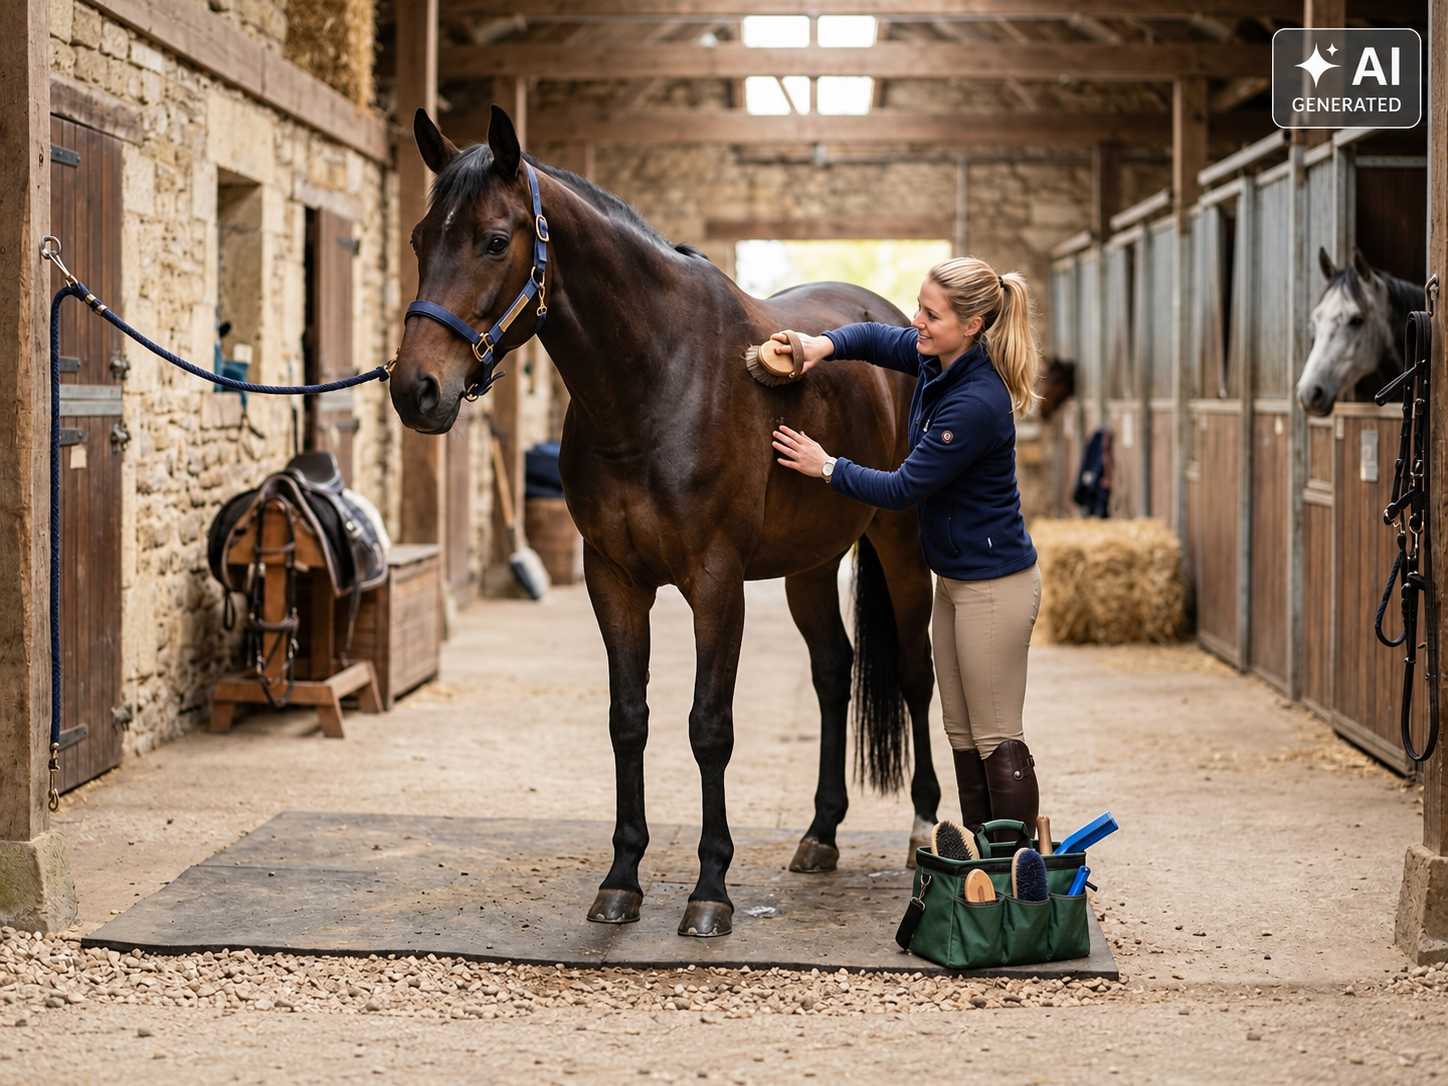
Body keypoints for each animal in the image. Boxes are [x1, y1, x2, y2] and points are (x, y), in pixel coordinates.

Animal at [388, 106, 942, 938]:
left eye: (493, 238)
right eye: (422, 238)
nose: (415, 389)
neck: (656, 379)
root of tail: (898, 324)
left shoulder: (716, 583)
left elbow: (709, 726)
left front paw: (710, 890)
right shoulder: (613, 578)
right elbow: (629, 719)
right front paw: (621, 880)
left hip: (901, 546)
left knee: (914, 672)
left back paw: (926, 830)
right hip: (810, 565)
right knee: (832, 671)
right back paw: (820, 833)